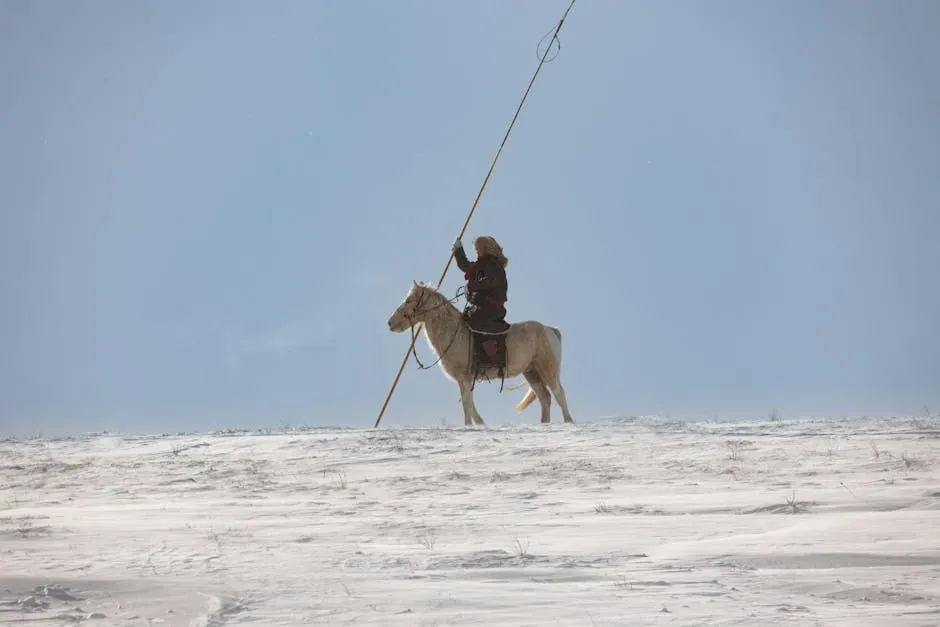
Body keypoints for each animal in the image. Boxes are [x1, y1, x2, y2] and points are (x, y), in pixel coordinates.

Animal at [387, 281, 574, 426]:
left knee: (559, 393)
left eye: (409, 300)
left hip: (547, 369)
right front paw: (480, 424)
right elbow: (470, 404)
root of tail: (550, 329)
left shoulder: (464, 378)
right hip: (531, 372)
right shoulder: (465, 380)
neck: (455, 333)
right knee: (545, 398)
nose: (390, 322)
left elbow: (467, 405)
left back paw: (568, 421)